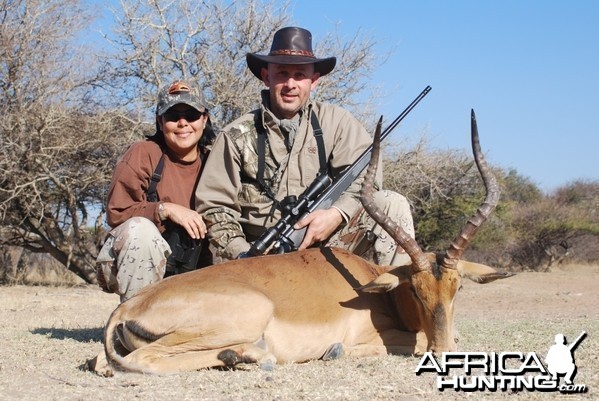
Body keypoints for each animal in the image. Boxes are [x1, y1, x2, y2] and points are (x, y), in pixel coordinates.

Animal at [98, 108, 516, 372]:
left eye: (458, 288)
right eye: (415, 289)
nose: (443, 353)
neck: (374, 287)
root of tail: (129, 306)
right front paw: (335, 351)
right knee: (142, 362)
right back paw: (254, 357)